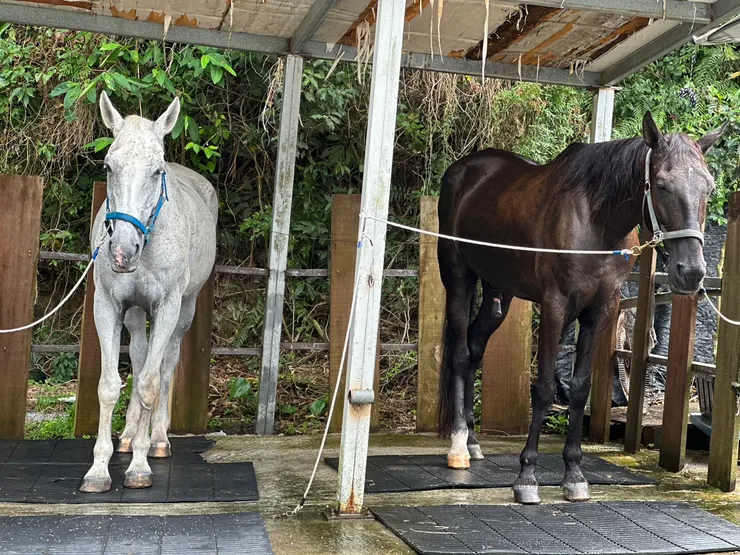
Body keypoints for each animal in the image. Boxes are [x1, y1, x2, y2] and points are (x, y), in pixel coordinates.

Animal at [79, 92, 218, 493]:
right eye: (109, 166)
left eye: (157, 171)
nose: (122, 251)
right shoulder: (108, 305)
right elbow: (110, 385)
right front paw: (99, 469)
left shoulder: (168, 305)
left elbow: (151, 384)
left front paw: (139, 466)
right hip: (136, 313)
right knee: (140, 356)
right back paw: (128, 435)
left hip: (183, 311)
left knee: (166, 363)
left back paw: (156, 439)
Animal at [436, 112, 727, 505]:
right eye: (662, 184)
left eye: (708, 187)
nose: (692, 272)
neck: (594, 222)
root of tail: (463, 169)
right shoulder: (555, 306)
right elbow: (544, 388)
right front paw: (527, 476)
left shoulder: (599, 311)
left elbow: (579, 388)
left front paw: (574, 474)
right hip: (459, 279)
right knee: (460, 354)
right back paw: (458, 447)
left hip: (499, 293)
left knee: (475, 348)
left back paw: (473, 441)